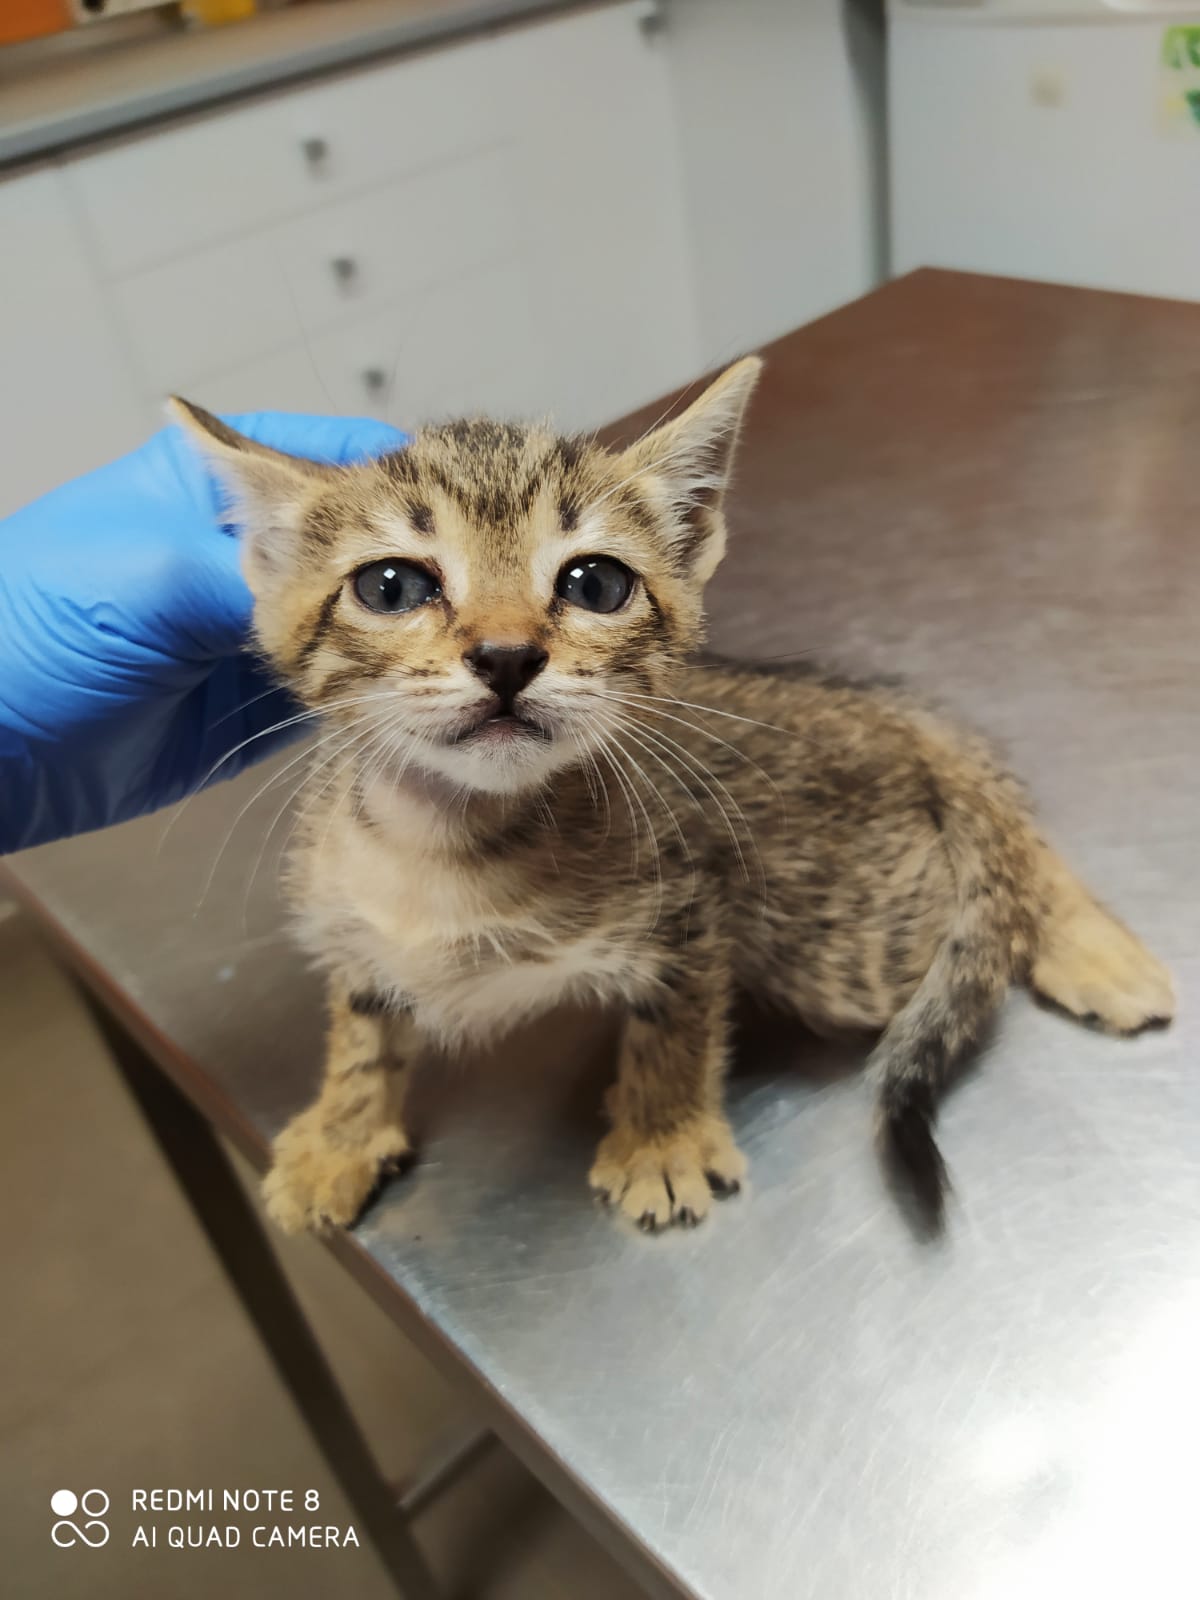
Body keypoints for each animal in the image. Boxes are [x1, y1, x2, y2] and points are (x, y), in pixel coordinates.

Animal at [170, 357, 1174, 1236]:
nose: (506, 655)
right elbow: (362, 1037)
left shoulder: (695, 904)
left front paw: (661, 1136)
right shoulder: (351, 931)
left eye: (595, 582)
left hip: (852, 944)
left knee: (1002, 875)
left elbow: (674, 1020)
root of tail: (876, 710)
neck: (445, 837)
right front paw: (339, 1137)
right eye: (391, 585)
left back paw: (1094, 951)